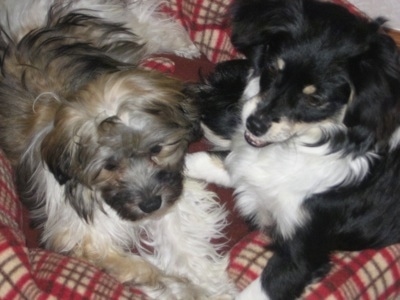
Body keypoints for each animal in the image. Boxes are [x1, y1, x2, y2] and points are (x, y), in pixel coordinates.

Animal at [0, 1, 234, 298]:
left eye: (156, 149)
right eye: (109, 166)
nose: (149, 204)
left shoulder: (170, 192)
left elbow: (181, 240)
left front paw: (209, 284)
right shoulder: (81, 235)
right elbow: (140, 268)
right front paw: (175, 287)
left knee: (143, 22)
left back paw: (182, 43)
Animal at [186, 0, 400, 298]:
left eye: (315, 99)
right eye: (273, 69)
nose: (254, 125)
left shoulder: (301, 256)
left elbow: (262, 289)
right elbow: (214, 161)